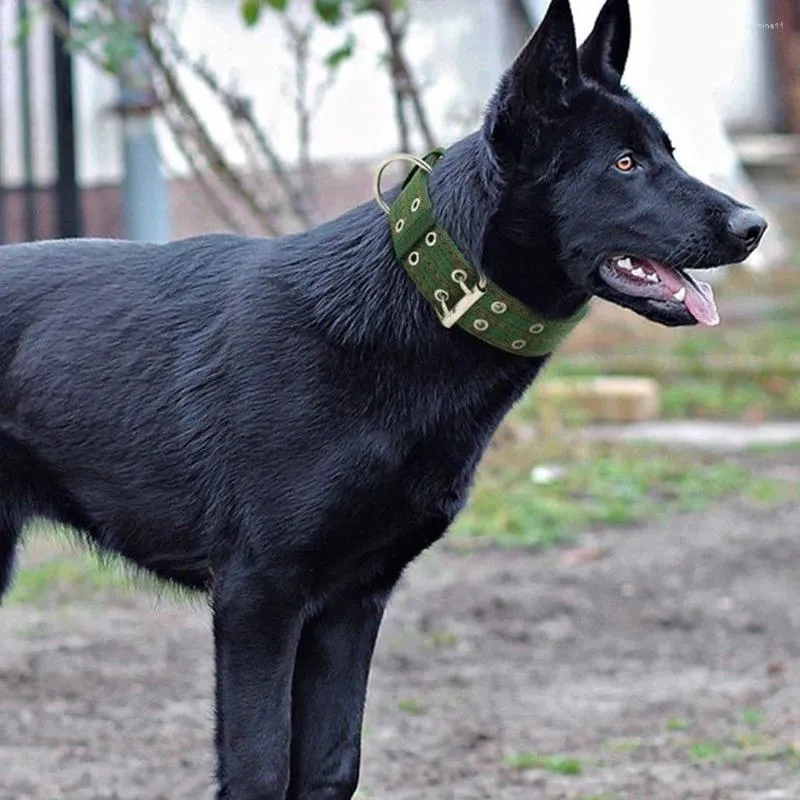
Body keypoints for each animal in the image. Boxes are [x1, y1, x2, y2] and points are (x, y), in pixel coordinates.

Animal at [0, 0, 764, 796]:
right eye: (624, 164)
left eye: (668, 153)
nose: (756, 226)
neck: (423, 307)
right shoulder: (257, 598)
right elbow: (260, 768)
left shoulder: (351, 603)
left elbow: (332, 766)